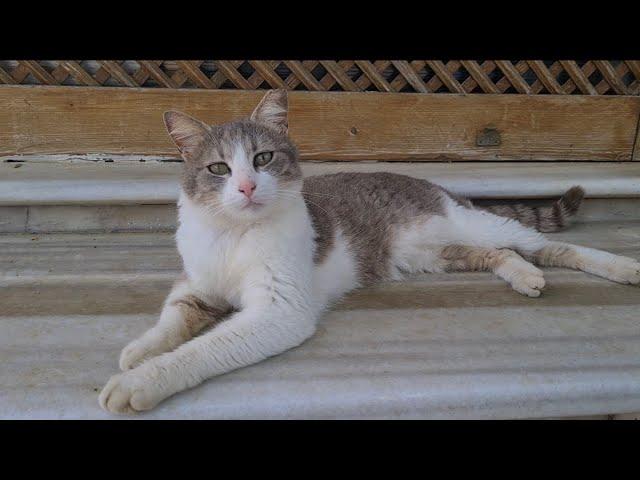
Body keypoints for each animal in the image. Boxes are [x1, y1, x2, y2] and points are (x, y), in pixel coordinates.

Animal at [99, 87, 640, 412]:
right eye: (218, 169)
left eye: (263, 158)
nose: (248, 187)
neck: (234, 233)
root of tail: (434, 185)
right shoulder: (196, 283)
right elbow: (173, 318)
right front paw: (139, 350)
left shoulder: (280, 310)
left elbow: (203, 348)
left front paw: (141, 382)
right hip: (432, 255)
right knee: (501, 254)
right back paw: (523, 276)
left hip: (474, 225)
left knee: (545, 244)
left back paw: (617, 266)